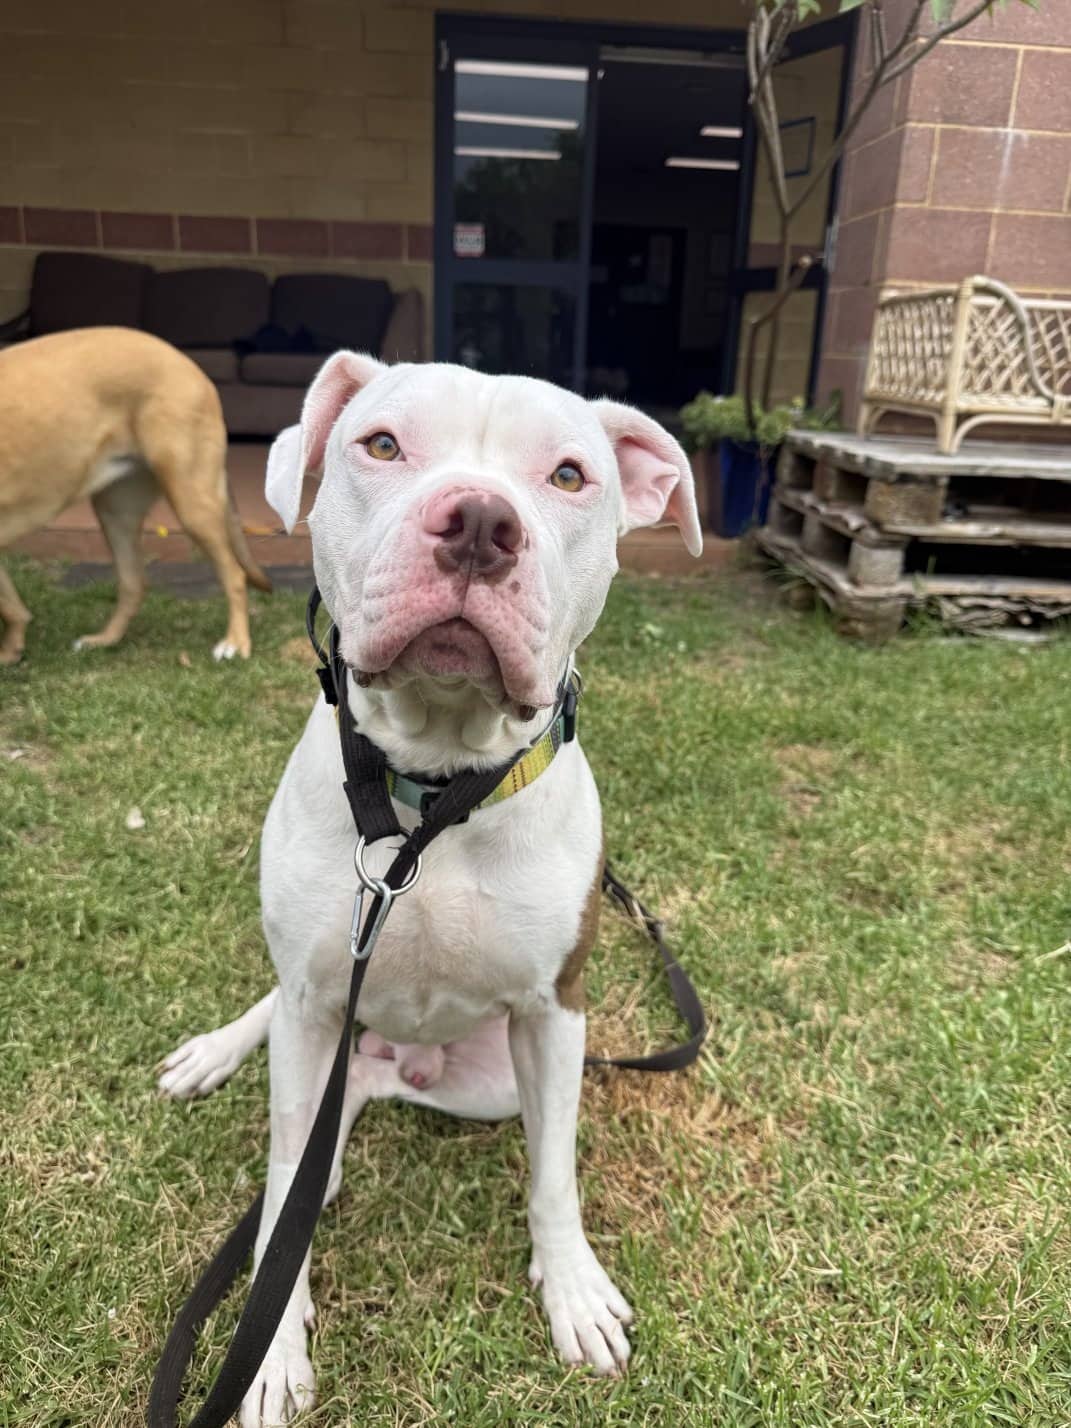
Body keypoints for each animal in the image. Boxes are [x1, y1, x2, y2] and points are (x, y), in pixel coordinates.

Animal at [0, 327, 271, 664]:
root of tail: (183, 359)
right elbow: (10, 603)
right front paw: (12, 648)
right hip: (117, 512)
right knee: (133, 585)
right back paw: (104, 640)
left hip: (191, 502)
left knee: (233, 574)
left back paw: (235, 642)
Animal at [158, 352, 701, 1426]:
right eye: (381, 445)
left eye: (569, 475)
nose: (481, 523)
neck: (432, 791)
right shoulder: (314, 997)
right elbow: (281, 1167)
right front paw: (268, 1345)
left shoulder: (554, 1012)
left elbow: (554, 1174)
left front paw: (571, 1289)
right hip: (315, 1010)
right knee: (286, 1074)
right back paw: (224, 1065)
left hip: (485, 1081)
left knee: (363, 1095)